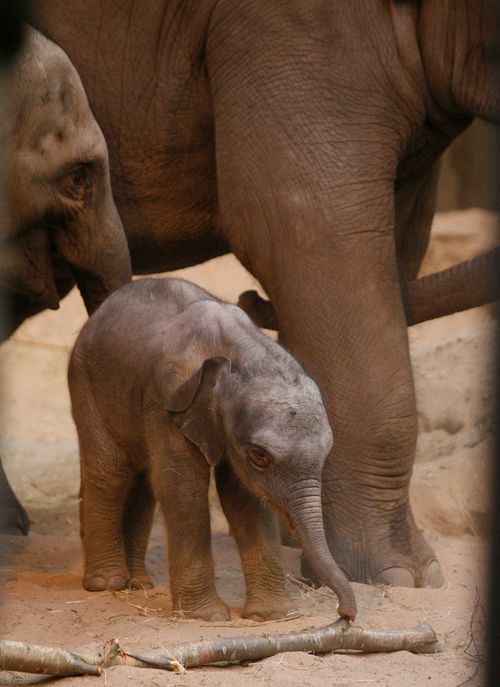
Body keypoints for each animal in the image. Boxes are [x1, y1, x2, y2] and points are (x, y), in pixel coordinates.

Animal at [68, 277, 356, 621]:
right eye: (260, 456)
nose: (344, 615)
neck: (240, 352)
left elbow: (242, 494)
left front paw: (269, 616)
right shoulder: (167, 400)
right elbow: (182, 486)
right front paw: (207, 617)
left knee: (142, 482)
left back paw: (138, 583)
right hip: (86, 383)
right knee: (111, 473)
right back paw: (108, 583)